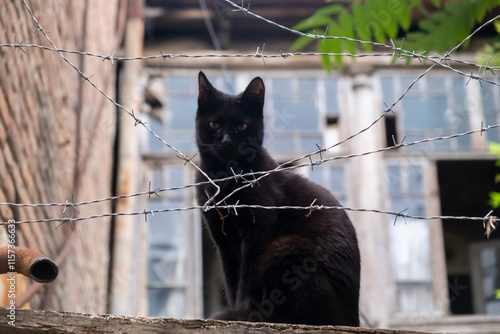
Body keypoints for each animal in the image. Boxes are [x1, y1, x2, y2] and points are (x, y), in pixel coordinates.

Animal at [194, 71, 360, 326]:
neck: (225, 178)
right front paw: (236, 310)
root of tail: (353, 318)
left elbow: (248, 277)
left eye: (242, 126)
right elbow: (233, 279)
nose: (227, 142)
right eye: (214, 124)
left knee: (308, 316)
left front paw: (241, 313)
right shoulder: (224, 241)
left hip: (287, 247)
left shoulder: (258, 232)